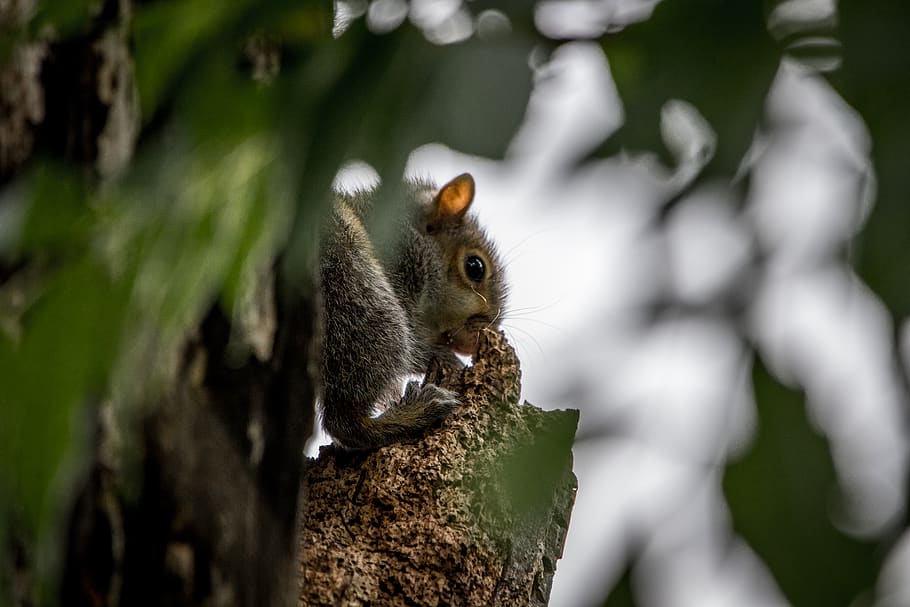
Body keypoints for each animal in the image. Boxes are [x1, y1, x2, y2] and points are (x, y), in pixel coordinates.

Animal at [318, 173, 506, 449]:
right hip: (356, 292)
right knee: (344, 423)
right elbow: (417, 350)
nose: (473, 343)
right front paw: (448, 358)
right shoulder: (402, 267)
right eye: (475, 267)